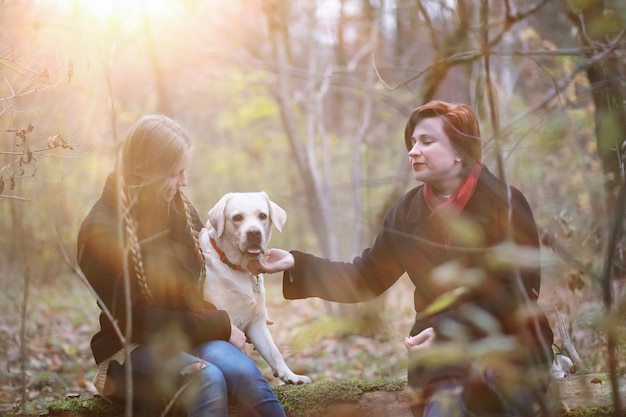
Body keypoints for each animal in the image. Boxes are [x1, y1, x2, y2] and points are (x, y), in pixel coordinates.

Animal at [197, 192, 310, 384]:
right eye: (237, 217)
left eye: (263, 216)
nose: (254, 233)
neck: (238, 267)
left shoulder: (257, 321)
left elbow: (274, 352)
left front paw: (290, 375)